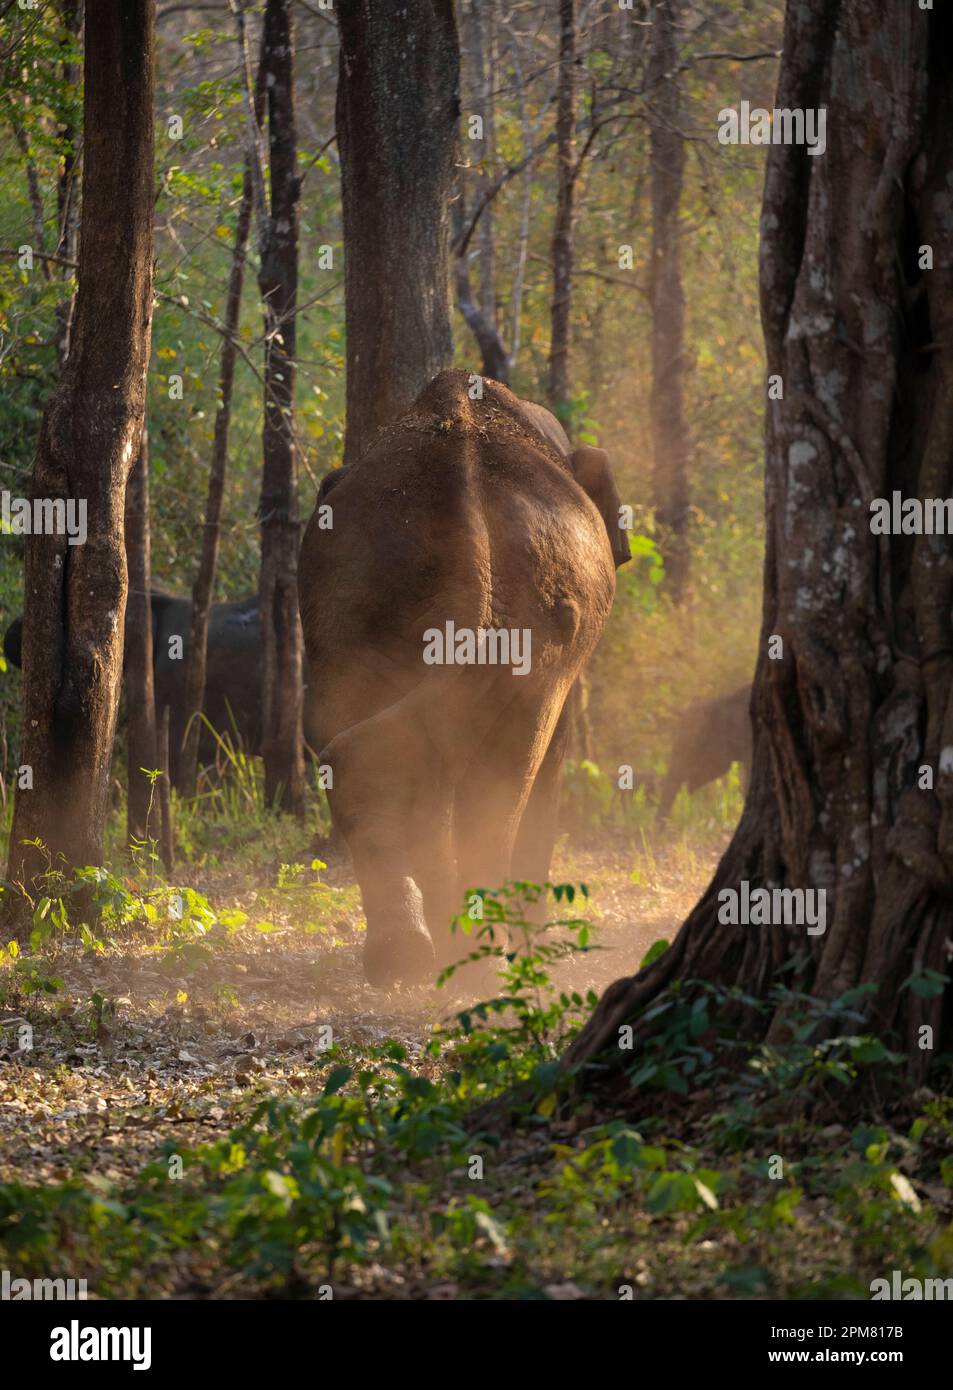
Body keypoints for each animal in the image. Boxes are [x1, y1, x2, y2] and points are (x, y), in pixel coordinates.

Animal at [302, 364, 630, 984]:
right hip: (536, 640)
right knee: (506, 776)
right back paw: (479, 961)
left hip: (355, 605)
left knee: (389, 757)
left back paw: (407, 958)